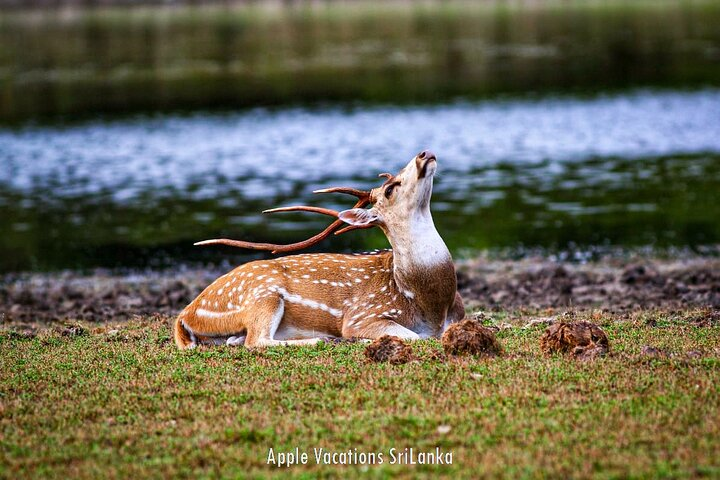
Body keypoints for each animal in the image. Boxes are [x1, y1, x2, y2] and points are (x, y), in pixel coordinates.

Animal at [174, 150, 466, 349]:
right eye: (390, 189)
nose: (424, 153)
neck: (430, 305)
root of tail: (186, 313)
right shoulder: (362, 316)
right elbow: (414, 337)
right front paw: (360, 341)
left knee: (236, 341)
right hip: (263, 295)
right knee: (256, 340)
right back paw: (320, 340)